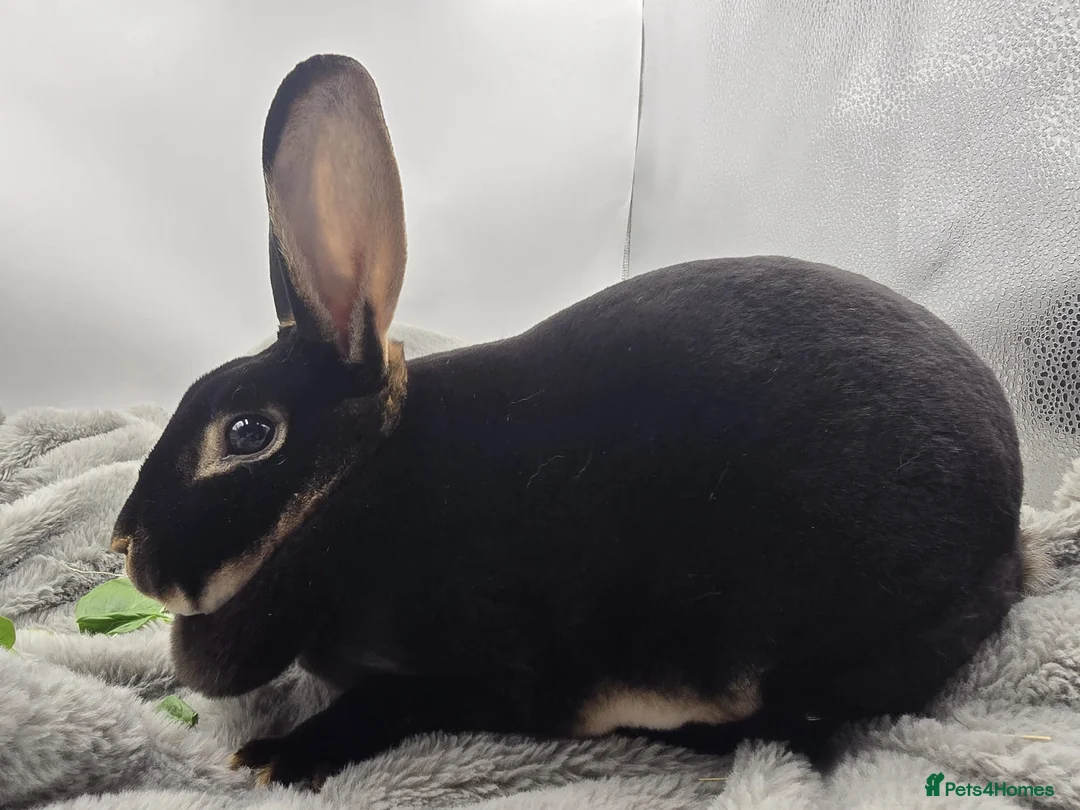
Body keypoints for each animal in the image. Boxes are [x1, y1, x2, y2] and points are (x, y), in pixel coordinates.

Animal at [109, 53, 1040, 789]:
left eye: (247, 435)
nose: (124, 544)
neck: (348, 491)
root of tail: (1007, 530)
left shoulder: (477, 668)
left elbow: (384, 705)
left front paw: (275, 755)